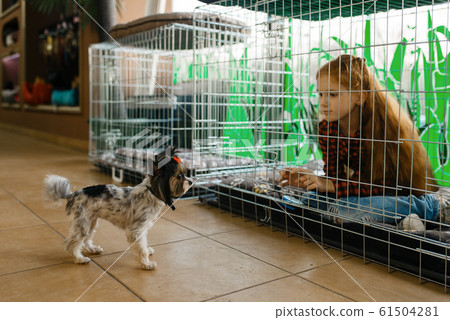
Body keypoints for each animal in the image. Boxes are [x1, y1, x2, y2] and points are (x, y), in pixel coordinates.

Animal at [42, 152, 190, 270]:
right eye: (180, 176)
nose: (191, 181)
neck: (151, 192)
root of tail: (71, 195)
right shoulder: (136, 230)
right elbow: (141, 248)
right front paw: (147, 264)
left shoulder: (143, 228)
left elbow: (143, 244)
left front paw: (147, 252)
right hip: (82, 223)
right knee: (71, 244)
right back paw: (80, 259)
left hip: (91, 222)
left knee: (86, 240)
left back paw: (93, 249)